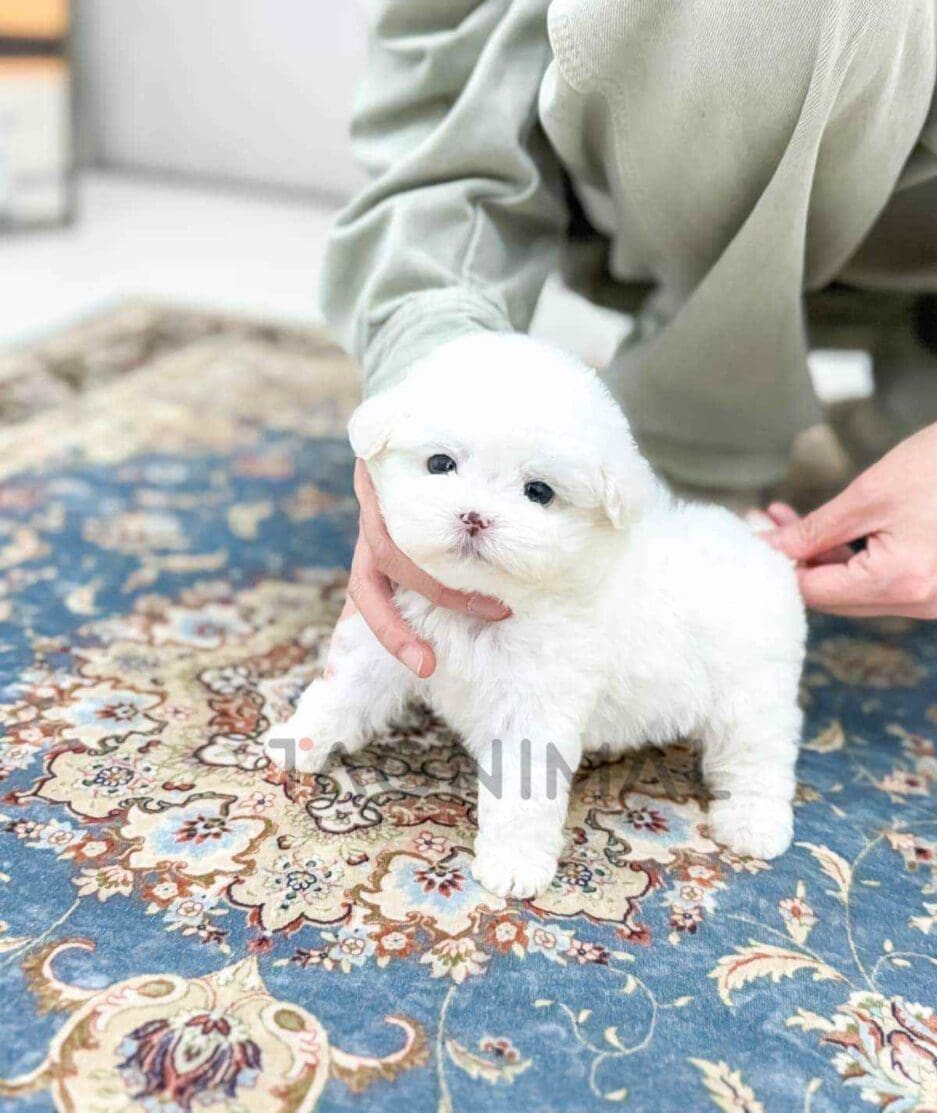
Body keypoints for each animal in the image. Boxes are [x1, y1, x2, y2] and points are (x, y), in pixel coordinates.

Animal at [264, 333, 807, 899]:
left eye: (539, 492)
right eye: (440, 464)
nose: (474, 517)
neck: (484, 603)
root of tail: (765, 549)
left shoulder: (534, 705)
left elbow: (522, 792)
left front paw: (514, 864)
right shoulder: (393, 638)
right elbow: (345, 688)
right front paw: (299, 738)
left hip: (751, 695)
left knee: (758, 758)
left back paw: (752, 825)